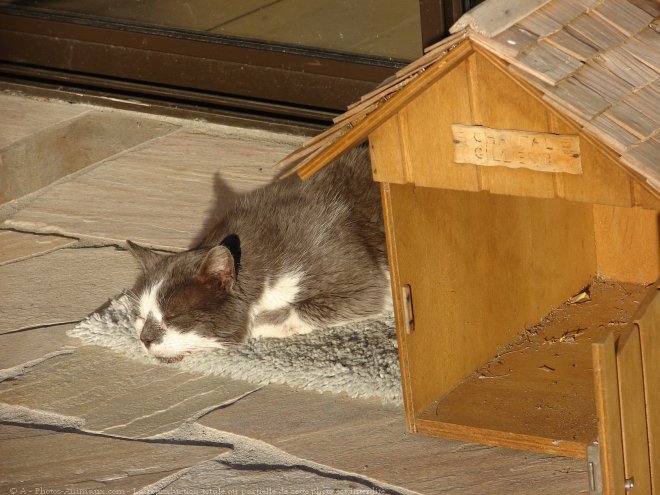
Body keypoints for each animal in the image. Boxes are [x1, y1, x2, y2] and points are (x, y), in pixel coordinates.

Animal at [125, 145, 392, 362]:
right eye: (140, 316)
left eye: (173, 316)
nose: (145, 339)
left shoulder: (363, 281)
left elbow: (289, 312)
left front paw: (255, 324)